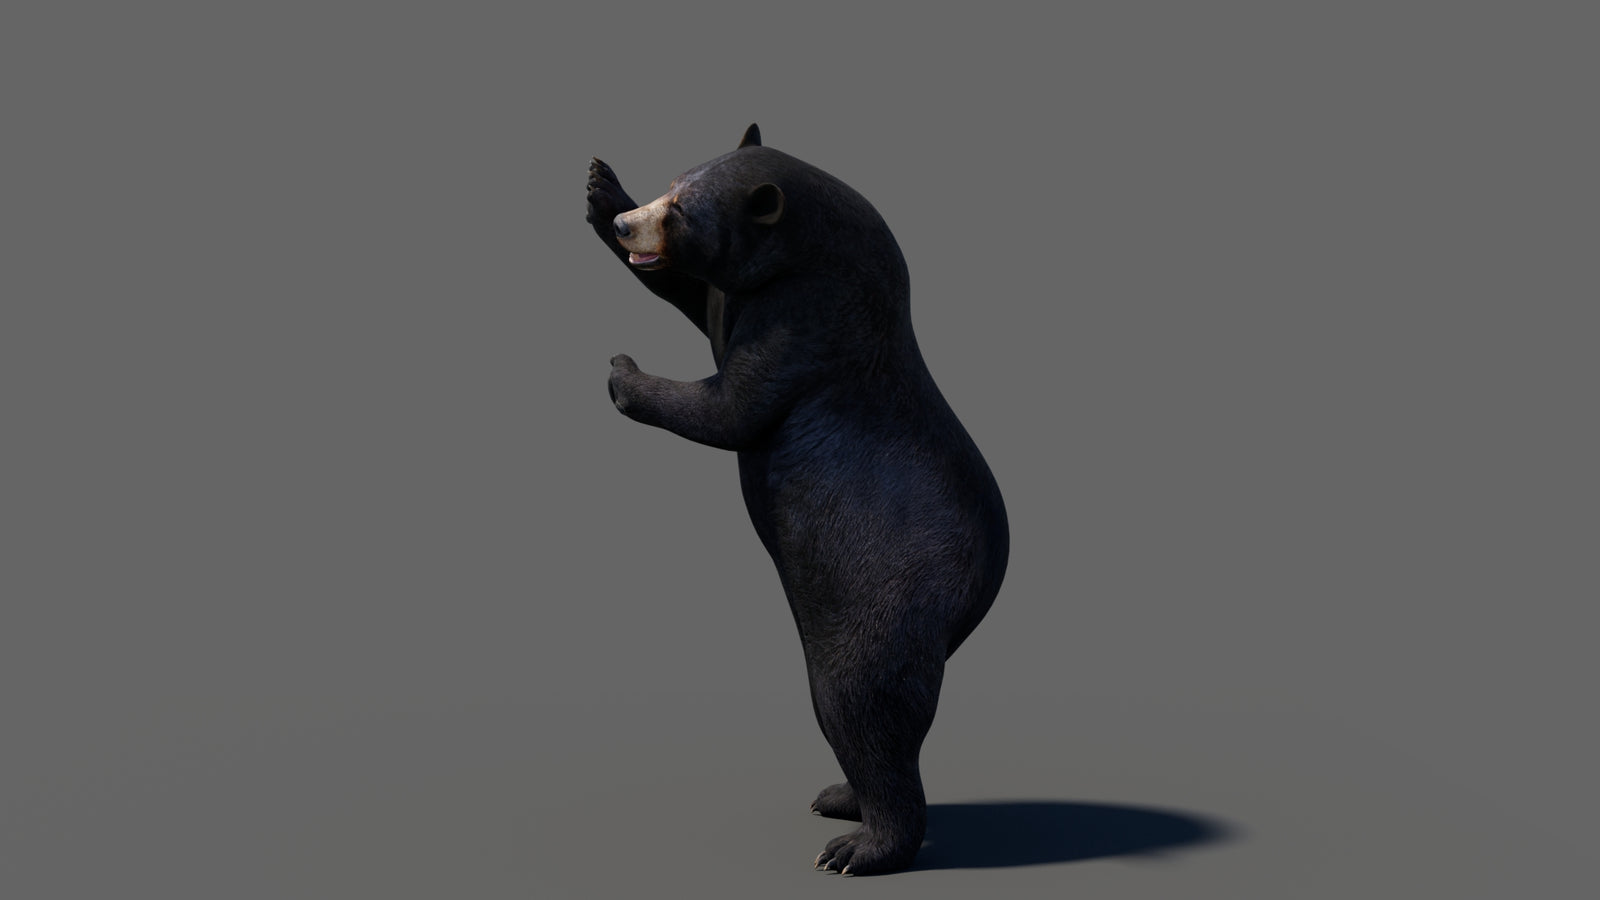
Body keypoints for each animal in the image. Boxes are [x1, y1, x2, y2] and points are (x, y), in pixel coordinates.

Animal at [585, 124, 1008, 875]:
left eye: (682, 212)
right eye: (670, 184)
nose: (629, 224)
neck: (812, 257)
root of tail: (978, 592)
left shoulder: (810, 321)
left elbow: (732, 408)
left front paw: (622, 373)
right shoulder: (756, 294)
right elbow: (694, 296)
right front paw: (599, 187)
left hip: (880, 605)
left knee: (861, 707)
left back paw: (861, 846)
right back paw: (840, 797)